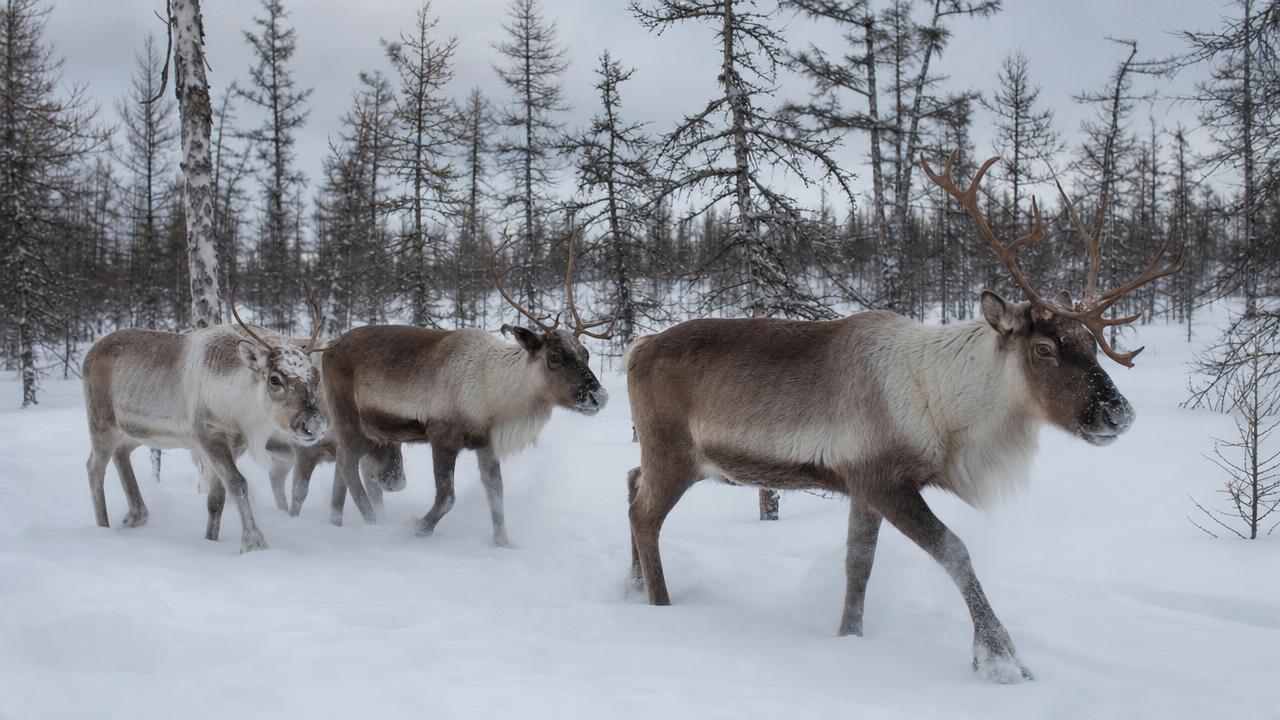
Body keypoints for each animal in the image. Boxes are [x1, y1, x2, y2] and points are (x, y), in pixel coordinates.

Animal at [81, 298, 330, 553]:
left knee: (121, 454)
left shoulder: (235, 444)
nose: (314, 425)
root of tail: (90, 353)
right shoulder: (210, 436)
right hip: (102, 423)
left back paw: (136, 515)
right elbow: (238, 483)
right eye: (275, 379)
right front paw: (253, 541)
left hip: (134, 432)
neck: (238, 405)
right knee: (94, 467)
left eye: (316, 377)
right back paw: (103, 525)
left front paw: (211, 539)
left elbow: (217, 499)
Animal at [321, 230, 613, 545]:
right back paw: (372, 523)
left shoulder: (486, 443)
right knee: (346, 464)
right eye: (555, 357)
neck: (493, 394)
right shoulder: (443, 436)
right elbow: (447, 497)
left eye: (586, 353)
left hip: (369, 431)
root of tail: (328, 348)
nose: (599, 396)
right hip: (350, 419)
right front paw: (417, 527)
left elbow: (496, 495)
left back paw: (336, 521)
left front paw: (503, 543)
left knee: (342, 466)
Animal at [623, 151, 1184, 683]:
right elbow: (954, 550)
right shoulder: (883, 479)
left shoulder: (861, 484)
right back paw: (658, 605)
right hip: (673, 452)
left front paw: (849, 637)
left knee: (630, 482)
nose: (1118, 413)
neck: (946, 408)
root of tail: (636, 347)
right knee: (644, 514)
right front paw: (1002, 659)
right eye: (1045, 348)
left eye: (1089, 342)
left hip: (667, 455)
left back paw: (631, 585)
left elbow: (859, 564)